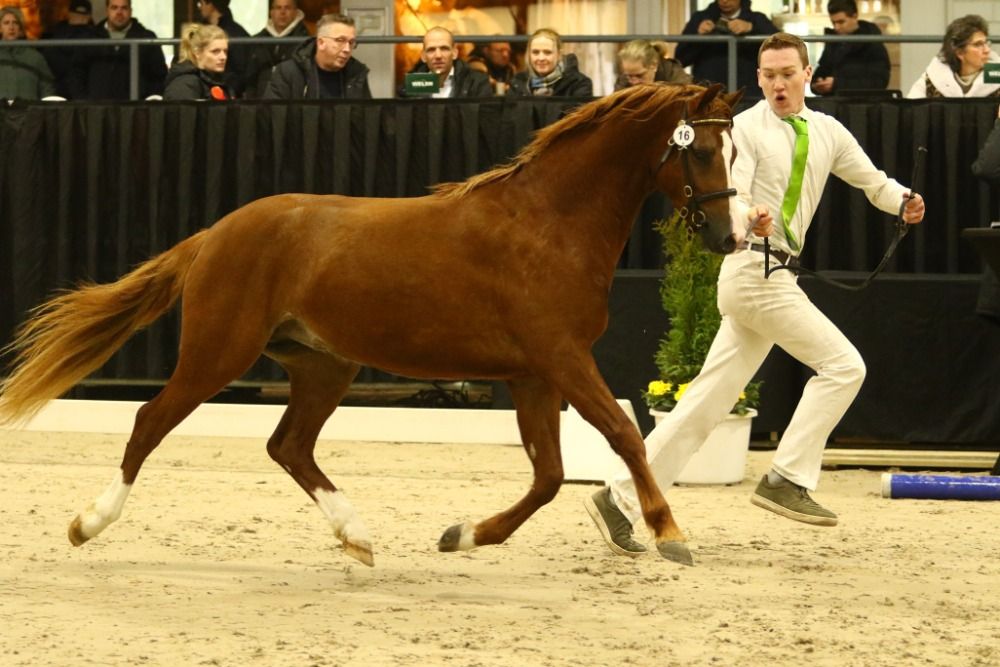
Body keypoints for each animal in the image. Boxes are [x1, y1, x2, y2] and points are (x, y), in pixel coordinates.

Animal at [0, 83, 744, 567]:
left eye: (733, 152)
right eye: (702, 151)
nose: (731, 237)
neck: (548, 222)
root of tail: (216, 233)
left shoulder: (533, 374)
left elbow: (549, 476)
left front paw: (461, 535)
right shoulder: (560, 359)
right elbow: (623, 435)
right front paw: (670, 533)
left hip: (324, 364)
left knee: (289, 446)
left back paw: (356, 537)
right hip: (220, 352)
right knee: (151, 421)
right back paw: (89, 523)